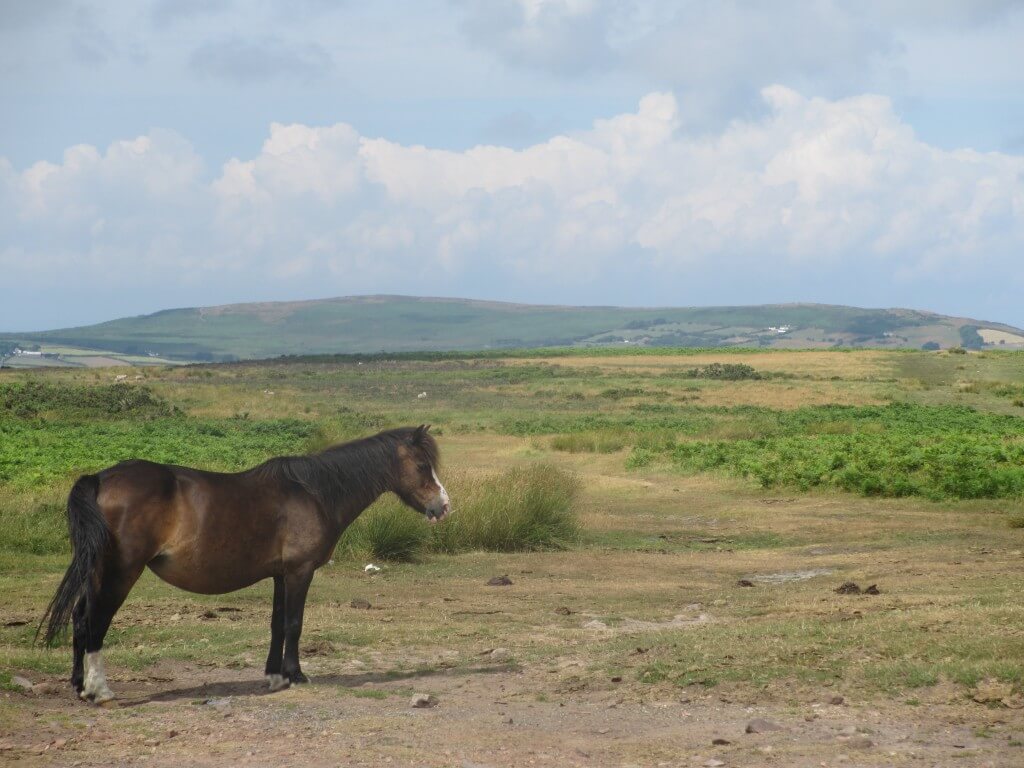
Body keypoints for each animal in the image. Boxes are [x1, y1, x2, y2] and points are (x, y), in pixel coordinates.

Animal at [39, 428, 448, 704]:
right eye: (422, 465)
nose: (443, 506)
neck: (313, 493)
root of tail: (100, 478)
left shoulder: (281, 574)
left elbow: (277, 624)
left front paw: (275, 677)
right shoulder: (300, 571)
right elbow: (294, 624)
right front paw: (296, 675)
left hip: (96, 571)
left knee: (80, 617)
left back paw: (79, 685)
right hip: (121, 572)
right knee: (96, 621)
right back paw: (100, 690)